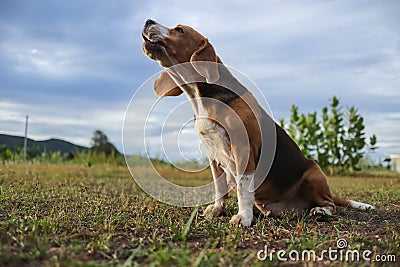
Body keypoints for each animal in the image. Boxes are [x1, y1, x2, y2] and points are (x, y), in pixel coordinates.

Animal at [141, 19, 376, 227]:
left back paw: (320, 210)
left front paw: (243, 218)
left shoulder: (242, 149)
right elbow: (219, 187)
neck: (200, 97)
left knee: (330, 205)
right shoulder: (213, 154)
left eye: (179, 30)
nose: (147, 21)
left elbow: (244, 187)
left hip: (314, 171)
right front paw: (217, 210)